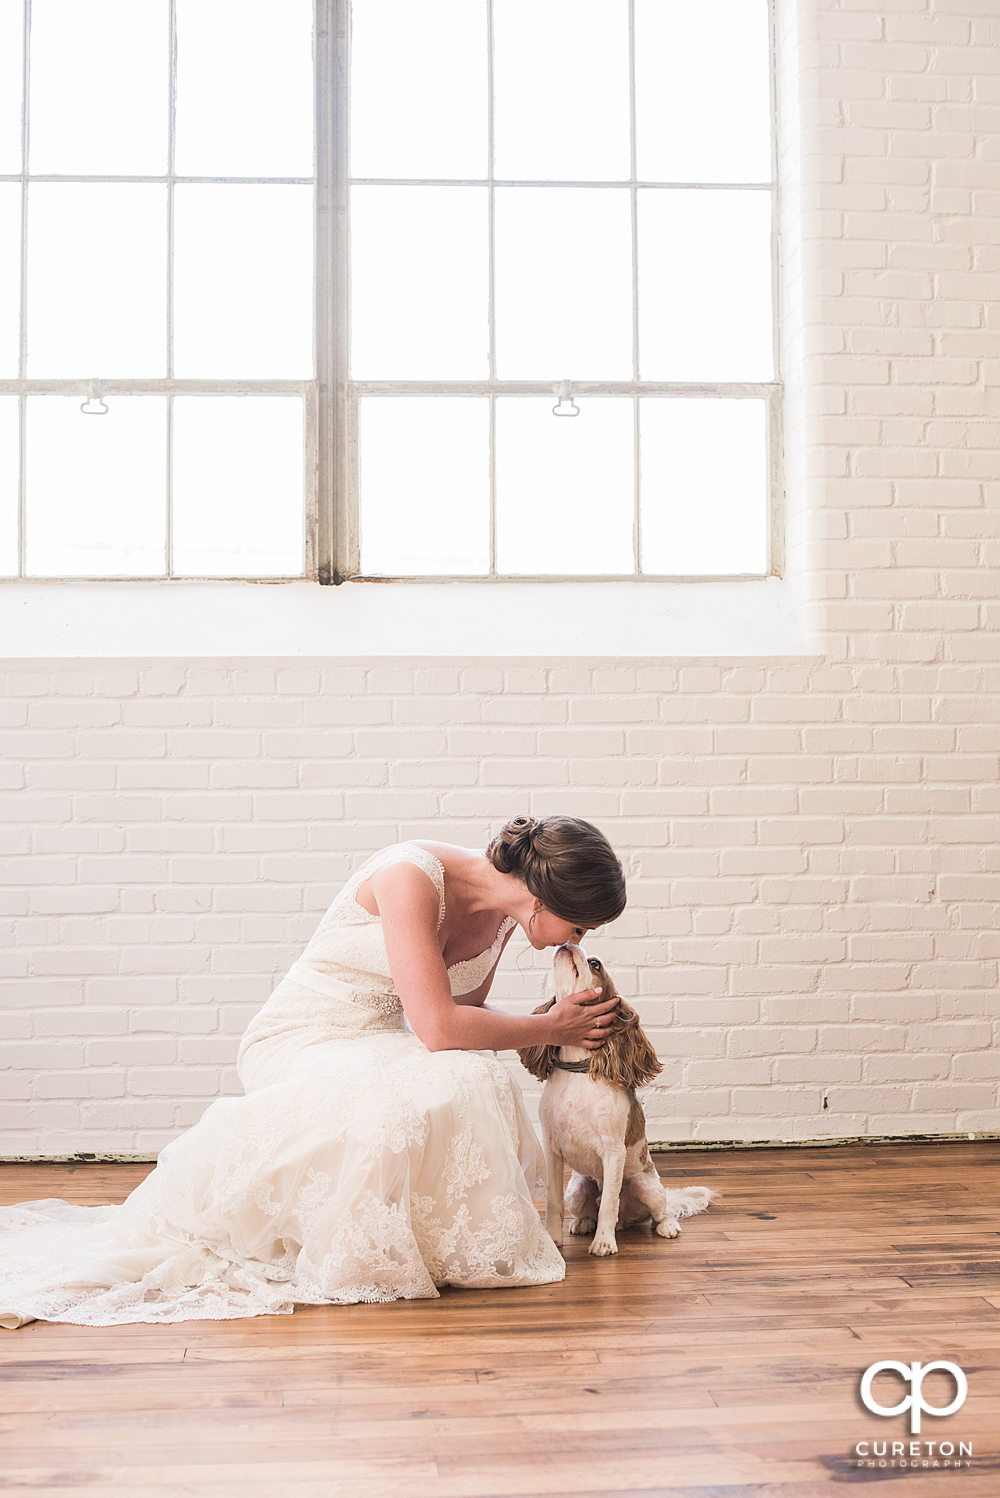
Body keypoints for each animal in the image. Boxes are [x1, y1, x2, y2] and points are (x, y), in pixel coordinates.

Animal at [520, 946, 715, 1252]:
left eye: (595, 964)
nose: (567, 943)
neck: (578, 1070)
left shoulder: (613, 1152)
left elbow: (609, 1204)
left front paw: (603, 1243)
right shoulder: (551, 1148)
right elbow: (553, 1202)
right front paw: (552, 1239)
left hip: (647, 1187)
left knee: (659, 1212)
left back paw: (667, 1226)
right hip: (577, 1188)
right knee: (590, 1209)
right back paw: (583, 1223)